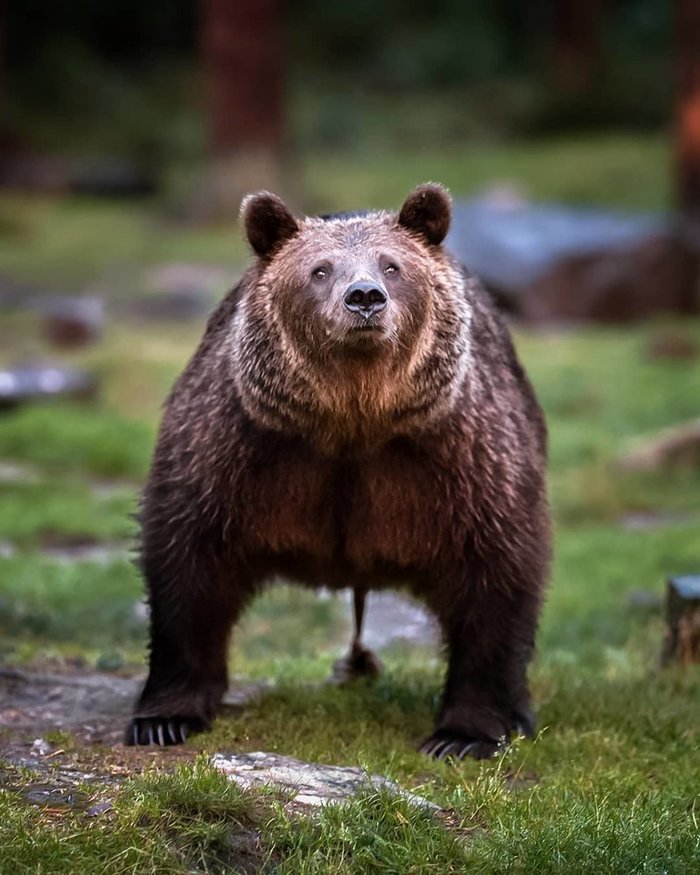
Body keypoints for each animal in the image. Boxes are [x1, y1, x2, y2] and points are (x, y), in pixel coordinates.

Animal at [127, 185, 552, 760]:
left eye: (393, 265)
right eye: (320, 269)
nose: (365, 297)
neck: (353, 418)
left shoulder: (458, 454)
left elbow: (496, 573)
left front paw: (465, 734)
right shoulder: (237, 446)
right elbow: (187, 561)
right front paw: (164, 718)